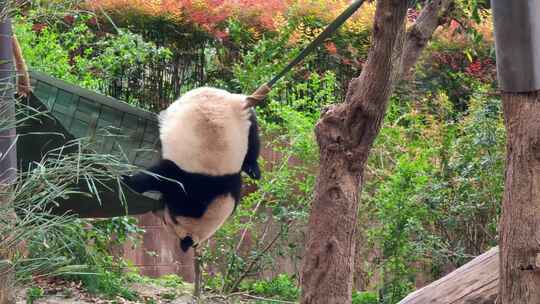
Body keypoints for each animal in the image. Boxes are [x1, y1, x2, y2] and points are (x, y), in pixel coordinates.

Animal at [123, 87, 260, 252]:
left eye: (166, 223)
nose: (157, 212)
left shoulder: (227, 183)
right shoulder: (189, 183)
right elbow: (159, 176)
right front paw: (127, 181)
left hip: (244, 118)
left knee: (253, 139)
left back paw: (252, 169)